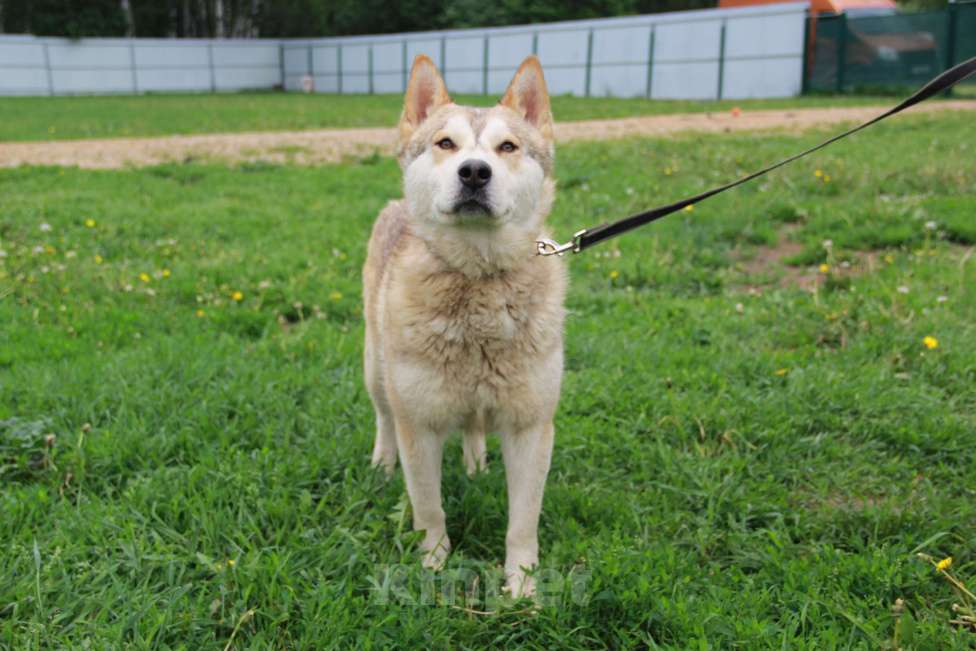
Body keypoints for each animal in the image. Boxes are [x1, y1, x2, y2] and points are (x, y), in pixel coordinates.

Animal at [364, 56, 564, 600]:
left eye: (507, 147)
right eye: (445, 143)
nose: (474, 171)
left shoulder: (531, 426)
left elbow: (523, 522)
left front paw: (522, 589)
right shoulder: (418, 424)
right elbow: (429, 508)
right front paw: (433, 569)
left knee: (474, 427)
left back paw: (475, 465)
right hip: (375, 370)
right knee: (383, 417)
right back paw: (381, 464)